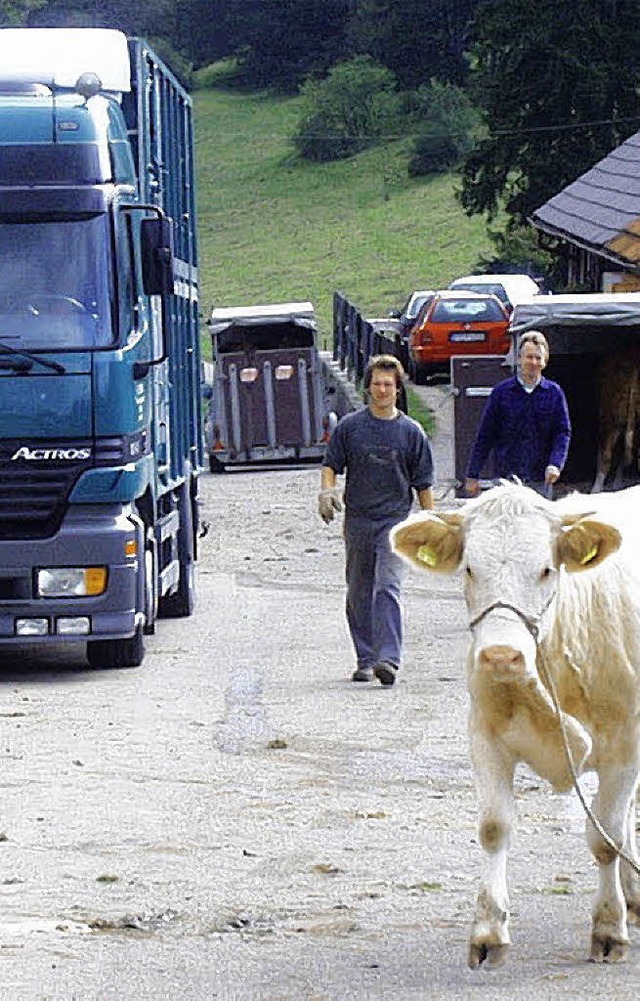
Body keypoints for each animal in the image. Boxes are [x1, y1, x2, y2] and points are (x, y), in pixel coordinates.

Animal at [390, 484, 640, 968]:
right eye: (470, 569)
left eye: (545, 569)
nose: (501, 656)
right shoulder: (484, 736)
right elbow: (494, 828)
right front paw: (488, 932)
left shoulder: (625, 745)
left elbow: (606, 837)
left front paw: (608, 928)